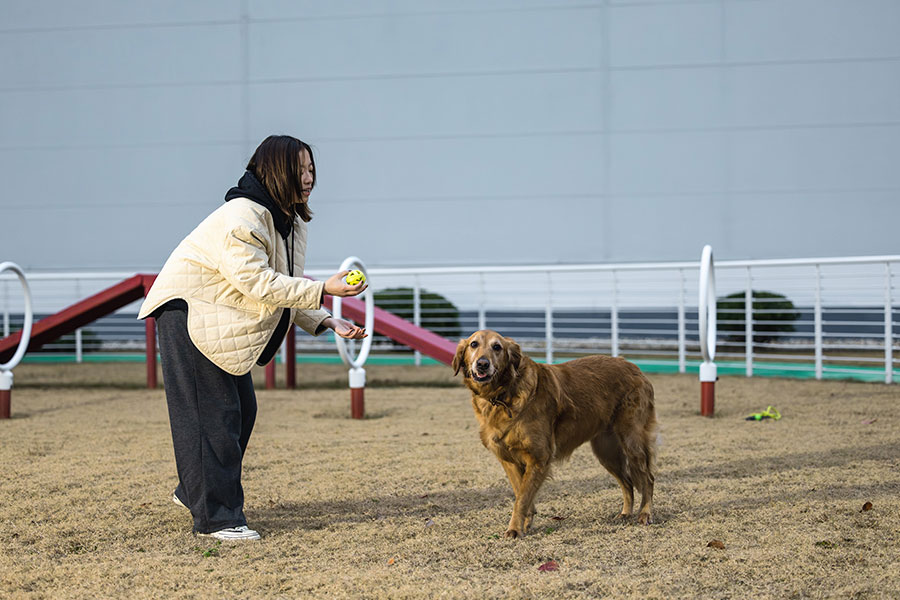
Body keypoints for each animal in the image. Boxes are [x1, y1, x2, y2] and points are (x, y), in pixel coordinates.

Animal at [453, 330, 657, 538]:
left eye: (497, 347)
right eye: (474, 344)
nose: (482, 364)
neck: (503, 394)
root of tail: (634, 367)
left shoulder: (538, 458)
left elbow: (522, 498)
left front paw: (515, 528)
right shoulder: (508, 460)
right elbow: (521, 494)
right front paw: (526, 522)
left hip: (631, 441)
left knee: (647, 479)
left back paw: (645, 513)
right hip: (606, 452)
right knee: (627, 483)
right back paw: (625, 513)